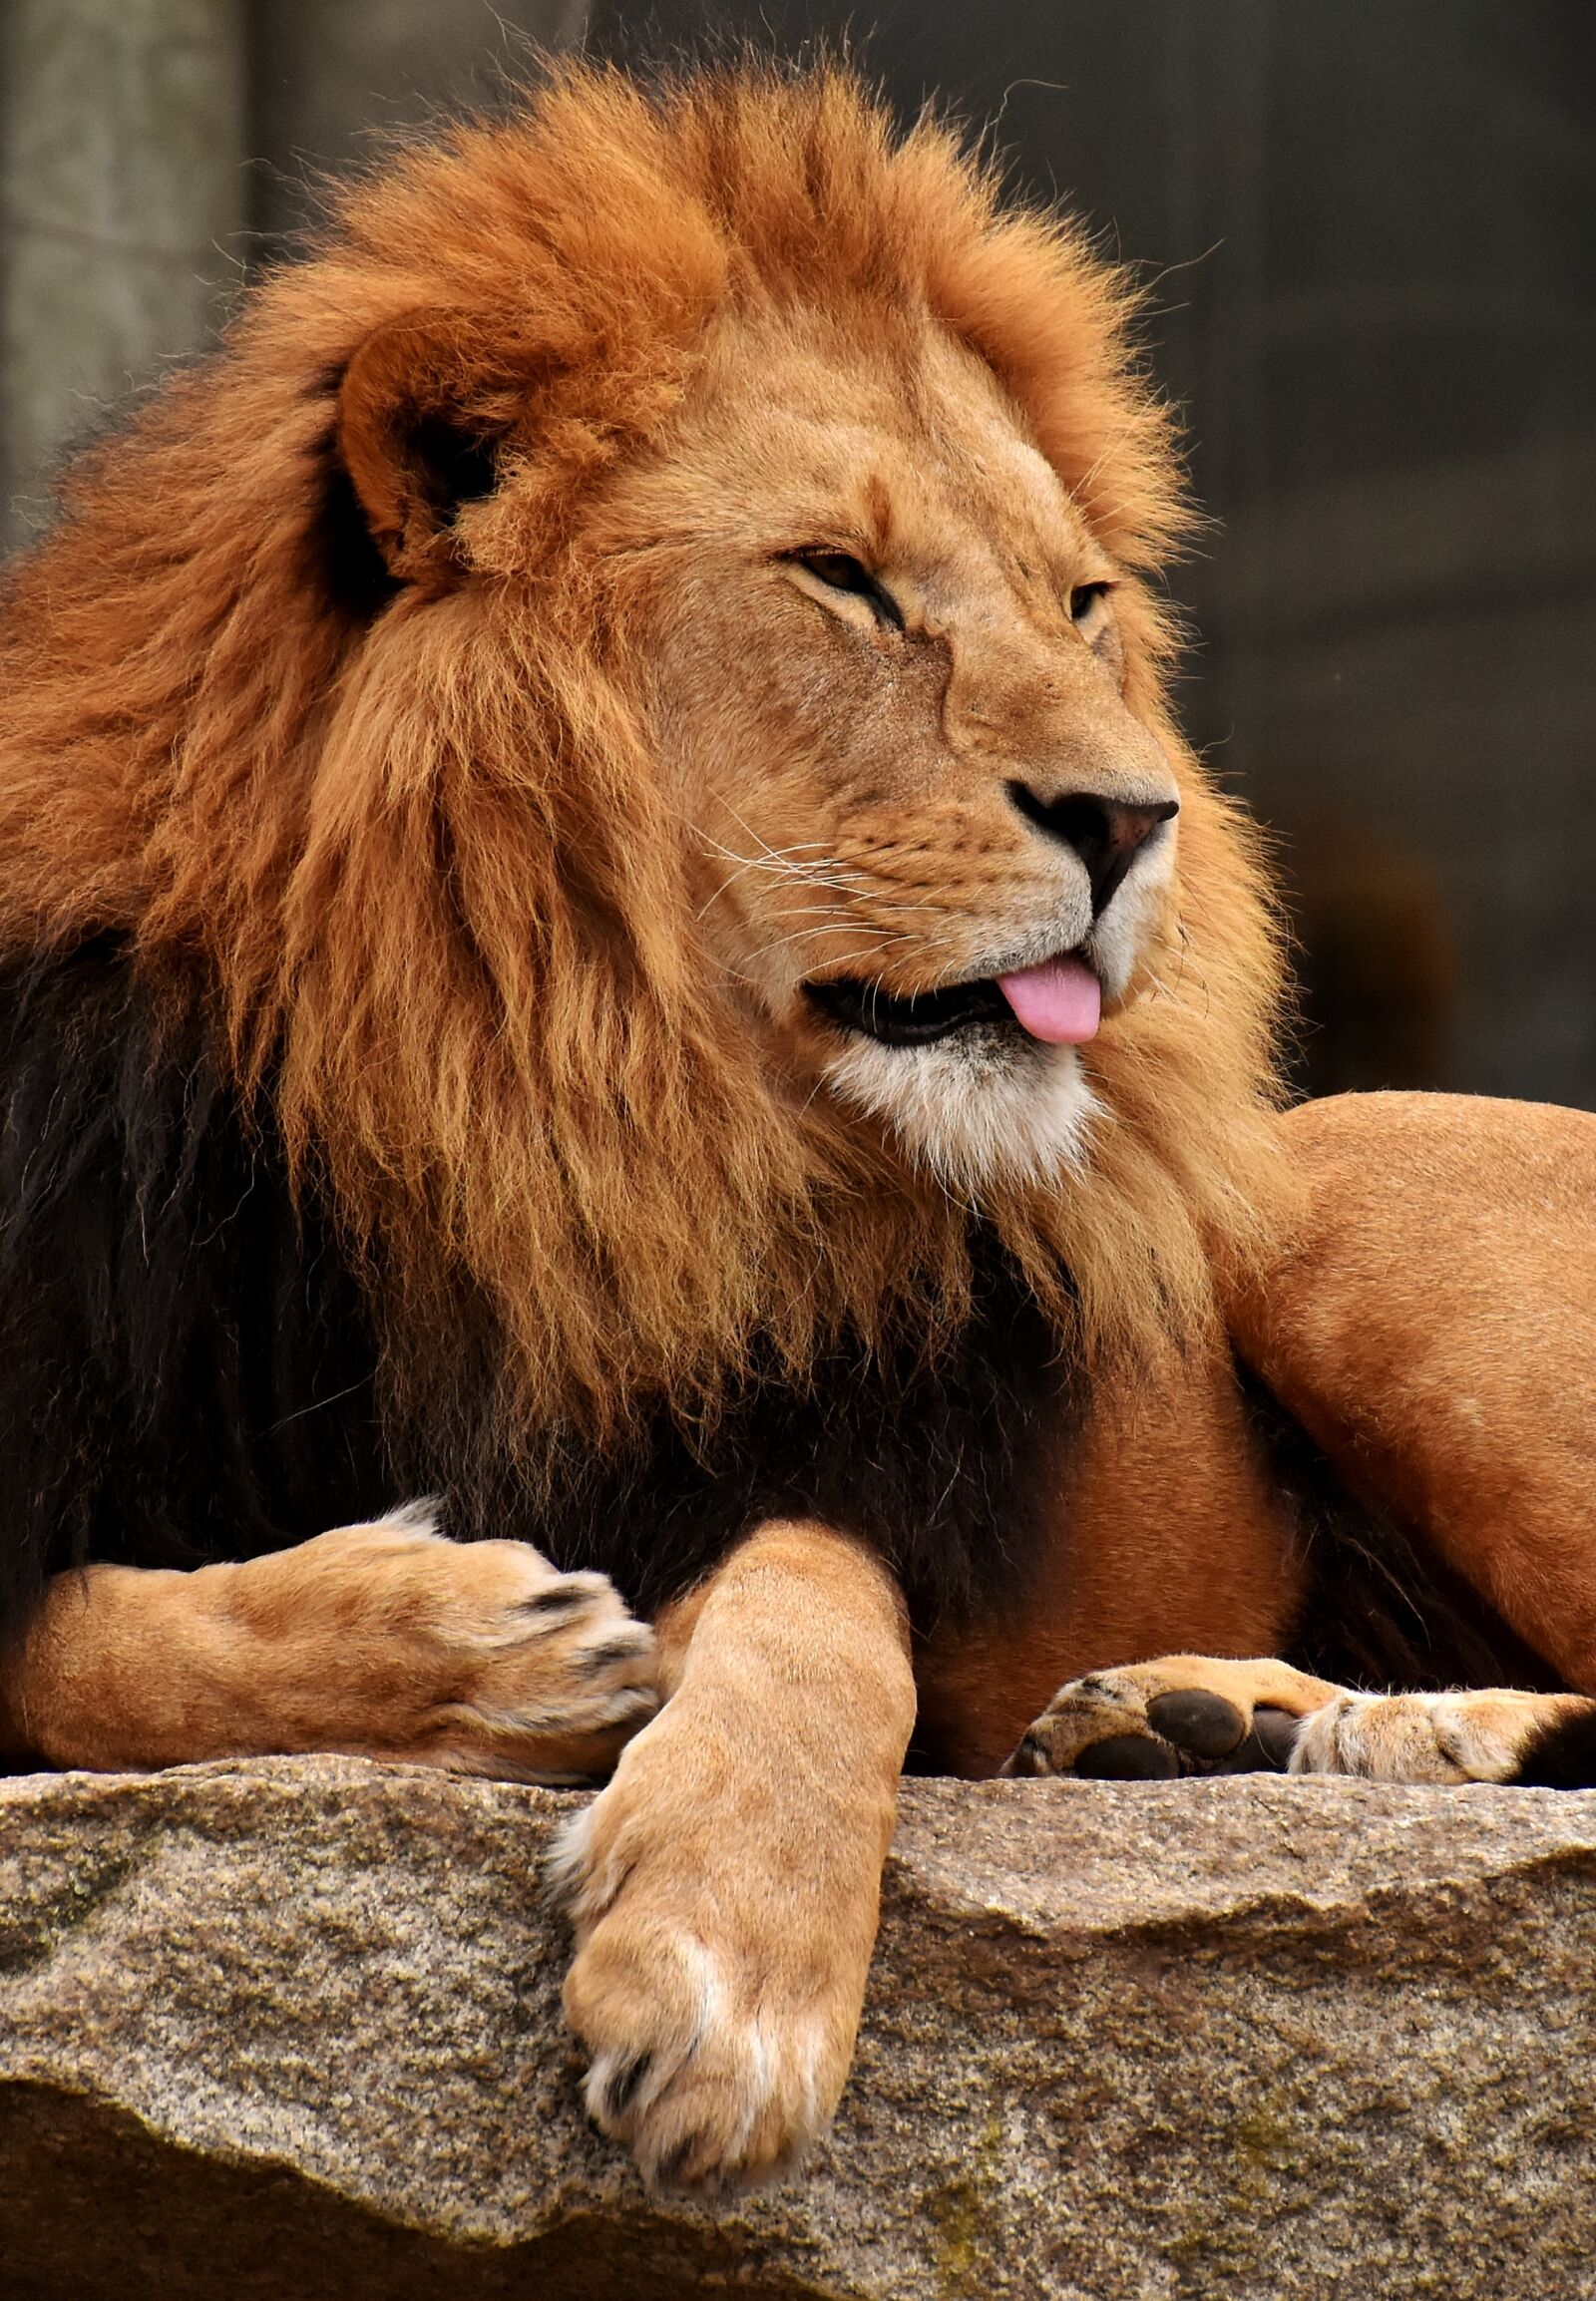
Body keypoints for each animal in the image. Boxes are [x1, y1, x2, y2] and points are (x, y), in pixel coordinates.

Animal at [2, 61, 1595, 2194]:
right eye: (844, 579)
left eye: (1080, 601)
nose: (1136, 818)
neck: (531, 1101)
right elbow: (89, 1645)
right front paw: (474, 1645)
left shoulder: (847, 1436)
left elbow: (819, 1597)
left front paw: (724, 1958)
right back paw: (1220, 1726)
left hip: (1351, 1197)